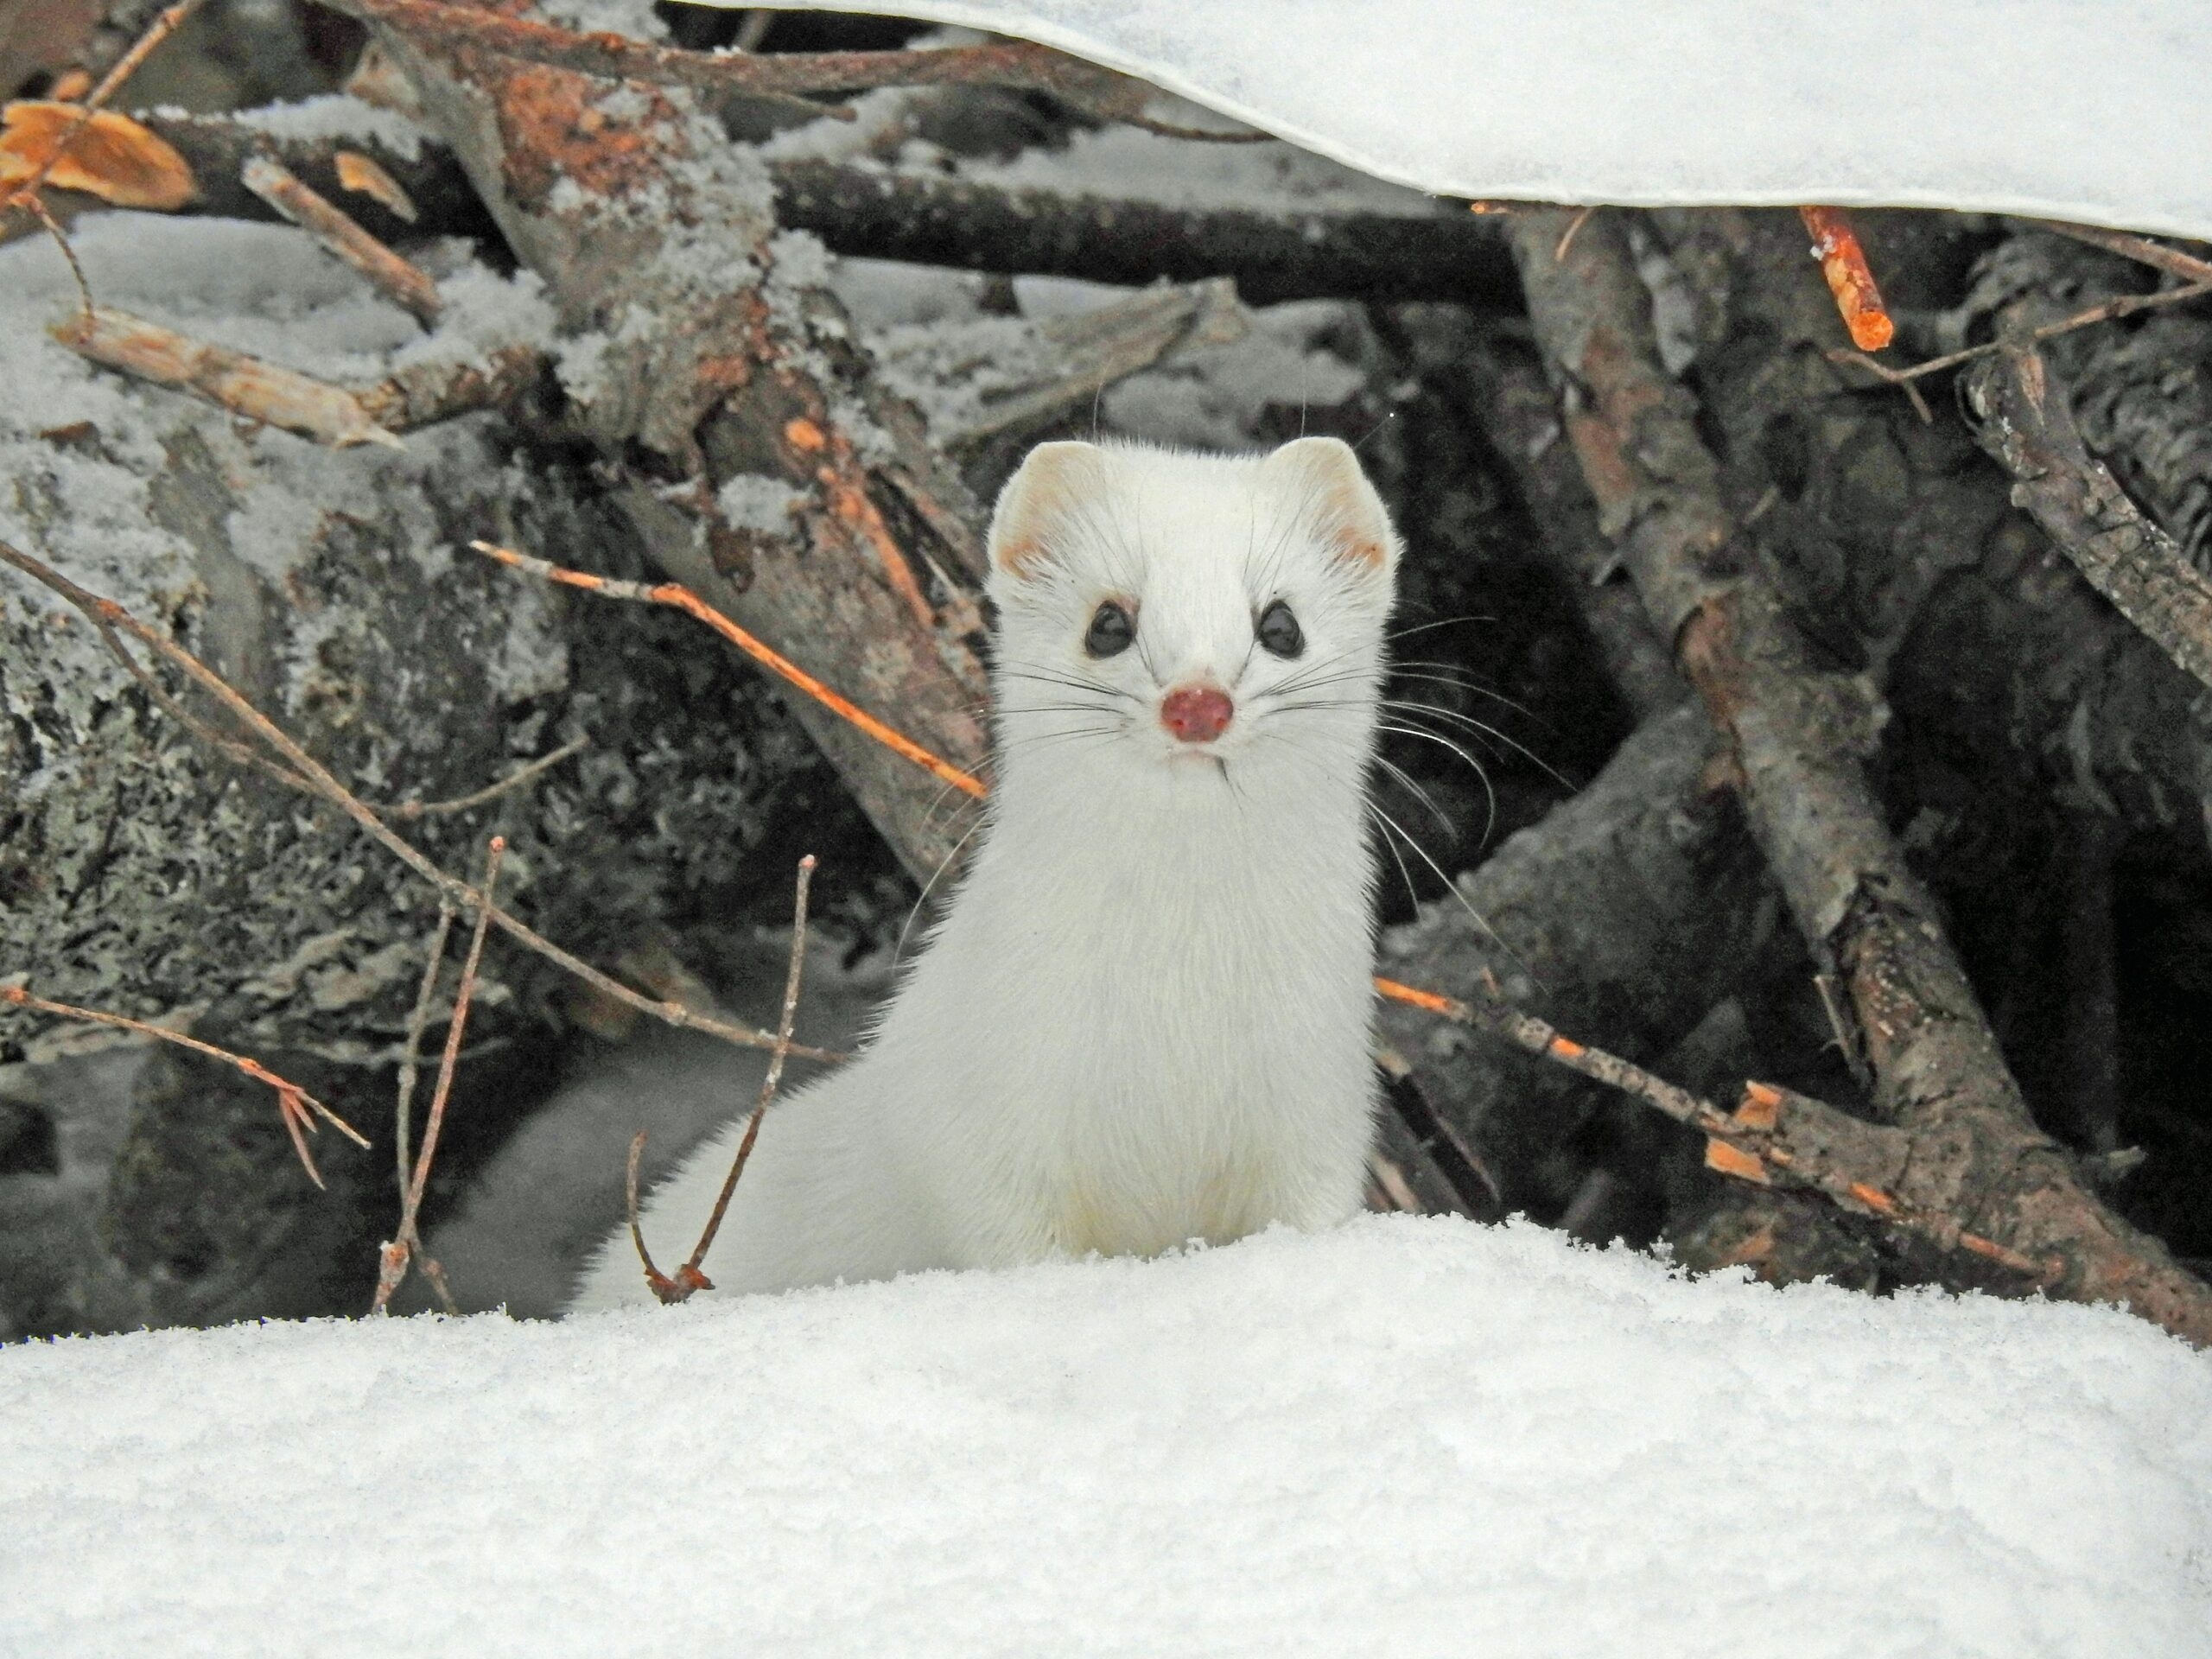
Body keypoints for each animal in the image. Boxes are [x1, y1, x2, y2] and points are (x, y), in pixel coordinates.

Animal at [570, 435, 1397, 1318]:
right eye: (1109, 623)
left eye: (1281, 624)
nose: (1198, 703)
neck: (1178, 1012)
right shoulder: (984, 1108)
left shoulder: (1320, 1089)